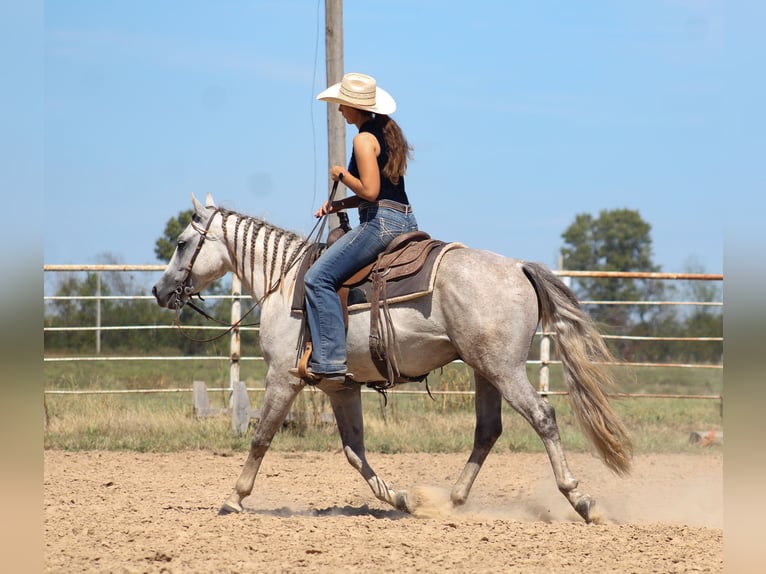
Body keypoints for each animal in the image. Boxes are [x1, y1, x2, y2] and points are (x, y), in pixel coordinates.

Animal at [152, 193, 632, 523]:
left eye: (181, 242)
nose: (159, 290)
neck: (285, 282)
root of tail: (517, 267)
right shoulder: (340, 387)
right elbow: (353, 450)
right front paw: (400, 498)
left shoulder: (283, 378)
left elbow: (261, 438)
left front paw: (233, 498)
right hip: (485, 370)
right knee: (487, 431)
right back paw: (451, 500)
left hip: (504, 368)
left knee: (543, 417)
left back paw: (581, 500)